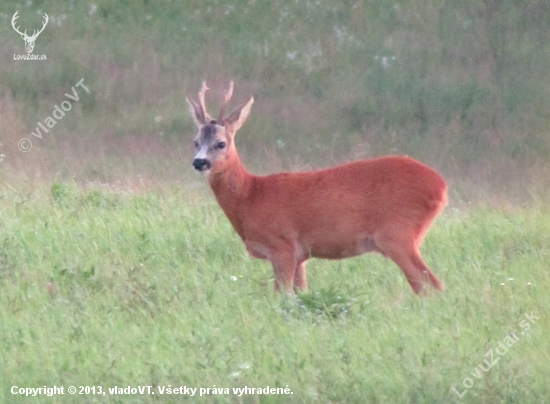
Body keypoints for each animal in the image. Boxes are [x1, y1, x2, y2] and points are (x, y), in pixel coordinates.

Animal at [190, 82, 448, 296]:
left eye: (221, 143)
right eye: (195, 142)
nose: (199, 162)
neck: (250, 196)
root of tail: (441, 187)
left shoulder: (282, 245)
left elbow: (282, 295)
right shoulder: (300, 256)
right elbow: (300, 292)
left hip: (397, 233)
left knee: (430, 285)